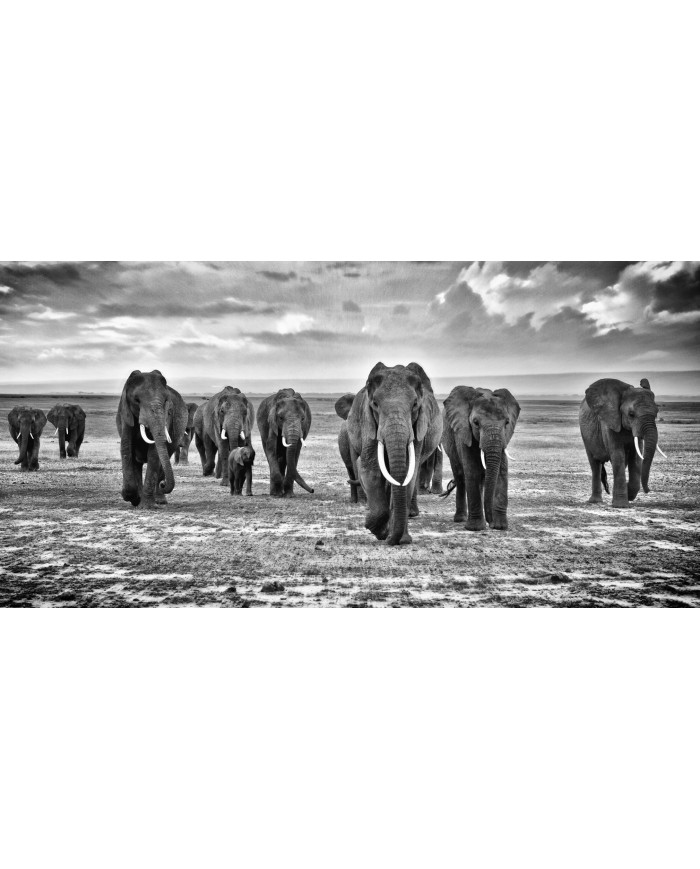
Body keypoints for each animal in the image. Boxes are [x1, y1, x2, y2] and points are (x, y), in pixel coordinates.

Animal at [115, 369, 188, 508]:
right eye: (137, 400)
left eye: (166, 401)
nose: (163, 484)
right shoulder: (125, 414)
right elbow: (126, 449)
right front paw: (131, 497)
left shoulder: (166, 417)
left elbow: (154, 454)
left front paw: (146, 506)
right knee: (137, 463)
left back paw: (159, 500)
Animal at [346, 362, 443, 545]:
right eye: (375, 404)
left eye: (415, 405)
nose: (390, 539)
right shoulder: (369, 424)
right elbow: (371, 471)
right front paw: (377, 529)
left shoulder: (418, 427)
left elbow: (409, 473)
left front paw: (398, 539)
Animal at [442, 386, 520, 531]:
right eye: (476, 423)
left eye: (507, 422)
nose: (491, 522)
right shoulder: (464, 432)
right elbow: (472, 472)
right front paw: (475, 528)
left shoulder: (504, 438)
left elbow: (501, 473)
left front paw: (500, 526)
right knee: (460, 476)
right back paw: (460, 519)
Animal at [579, 377, 664, 508]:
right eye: (631, 414)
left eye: (656, 413)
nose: (648, 490)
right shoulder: (610, 422)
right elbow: (618, 455)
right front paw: (621, 505)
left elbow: (636, 458)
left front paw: (628, 494)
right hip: (585, 435)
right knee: (595, 464)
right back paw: (595, 501)